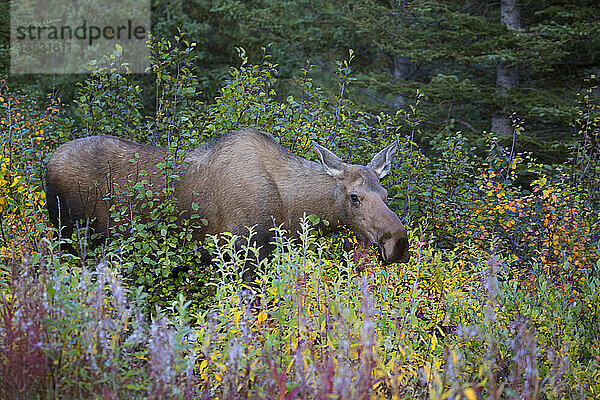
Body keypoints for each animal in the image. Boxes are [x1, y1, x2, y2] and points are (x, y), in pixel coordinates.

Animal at [44, 128, 410, 268]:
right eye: (354, 197)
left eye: (385, 193)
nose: (398, 242)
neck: (291, 211)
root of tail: (46, 163)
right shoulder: (241, 251)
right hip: (72, 233)